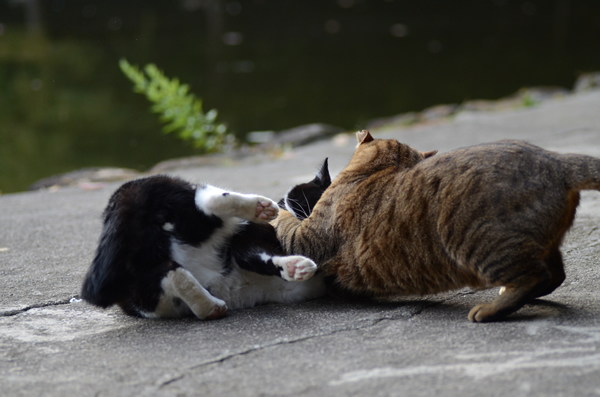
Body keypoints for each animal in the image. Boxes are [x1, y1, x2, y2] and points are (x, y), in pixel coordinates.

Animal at [79, 159, 330, 318]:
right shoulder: (245, 241)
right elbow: (257, 256)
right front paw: (297, 265)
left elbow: (262, 259)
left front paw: (296, 268)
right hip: (170, 193)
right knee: (204, 199)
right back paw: (258, 206)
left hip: (148, 298)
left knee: (168, 272)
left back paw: (210, 306)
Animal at [274, 130, 600, 322]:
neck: (379, 170)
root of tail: (557, 162)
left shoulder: (305, 241)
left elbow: (283, 220)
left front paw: (271, 207)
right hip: (545, 244)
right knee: (554, 275)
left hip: (480, 243)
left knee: (534, 277)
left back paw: (488, 310)